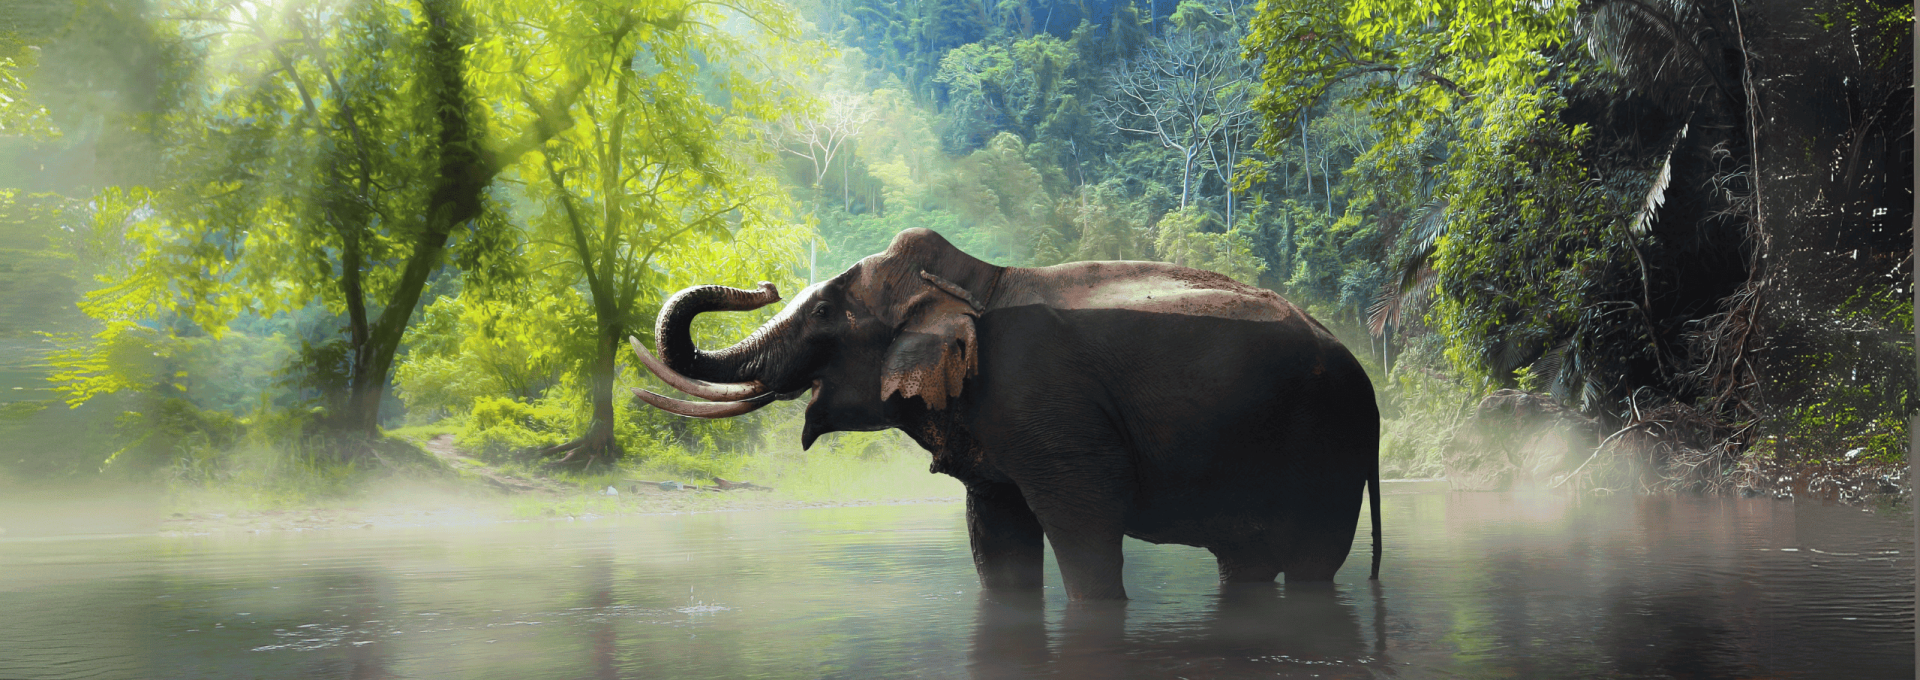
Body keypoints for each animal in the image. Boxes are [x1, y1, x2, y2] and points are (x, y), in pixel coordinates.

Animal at [631, 228, 1380, 600]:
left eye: (821, 313)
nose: (764, 284)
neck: (976, 282)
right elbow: (995, 535)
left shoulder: (1051, 410)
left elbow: (1085, 525)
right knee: (1245, 561)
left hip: (1330, 442)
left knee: (1313, 562)